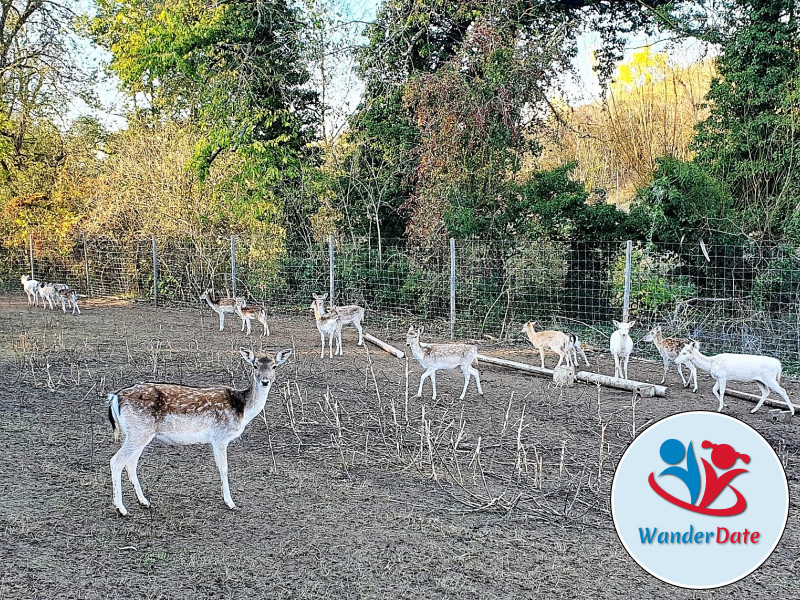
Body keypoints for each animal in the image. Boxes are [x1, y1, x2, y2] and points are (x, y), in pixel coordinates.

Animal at [108, 346, 290, 516]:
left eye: (274, 366)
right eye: (254, 365)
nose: (265, 381)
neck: (242, 410)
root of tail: (115, 397)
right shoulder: (220, 436)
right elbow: (224, 468)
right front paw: (230, 503)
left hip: (135, 433)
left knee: (131, 463)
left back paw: (144, 501)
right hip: (139, 431)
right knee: (116, 461)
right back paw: (121, 509)